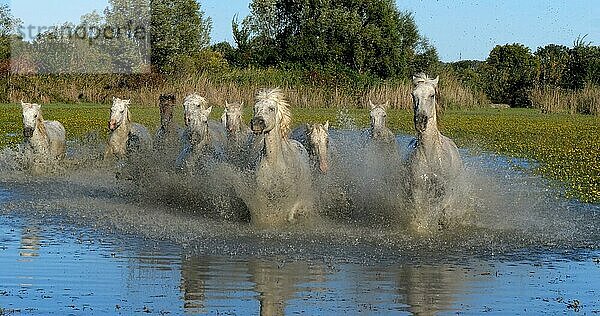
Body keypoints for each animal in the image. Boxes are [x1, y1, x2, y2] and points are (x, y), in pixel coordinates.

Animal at [248, 88, 314, 227]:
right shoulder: (262, 193)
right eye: (255, 108)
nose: (256, 123)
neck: (274, 164)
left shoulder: (289, 195)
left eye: (271, 108)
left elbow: (287, 215)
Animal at [408, 73, 464, 232]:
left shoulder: (442, 190)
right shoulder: (418, 189)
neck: (430, 155)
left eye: (432, 95)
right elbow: (421, 213)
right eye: (413, 95)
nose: (420, 121)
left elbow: (437, 210)